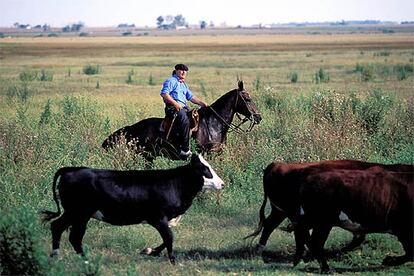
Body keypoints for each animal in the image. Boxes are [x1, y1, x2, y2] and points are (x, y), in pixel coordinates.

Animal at [41, 154, 223, 264]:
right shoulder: (159, 218)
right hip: (77, 212)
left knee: (67, 232)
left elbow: (166, 239)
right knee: (64, 230)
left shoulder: (163, 220)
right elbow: (169, 238)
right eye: (205, 169)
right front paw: (172, 261)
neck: (175, 183)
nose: (222, 183)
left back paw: (77, 258)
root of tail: (72, 169)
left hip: (78, 214)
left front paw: (150, 251)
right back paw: (65, 257)